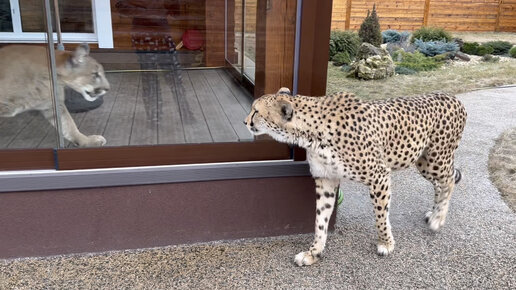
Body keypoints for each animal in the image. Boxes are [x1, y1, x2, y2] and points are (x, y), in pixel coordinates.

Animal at [244, 87, 466, 266]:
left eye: (256, 111)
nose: (245, 121)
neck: (312, 132)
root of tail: (451, 96)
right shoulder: (326, 180)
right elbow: (320, 220)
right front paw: (314, 252)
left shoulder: (379, 176)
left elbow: (380, 215)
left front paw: (386, 243)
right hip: (424, 162)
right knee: (442, 183)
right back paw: (434, 213)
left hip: (434, 160)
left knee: (448, 181)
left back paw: (438, 218)